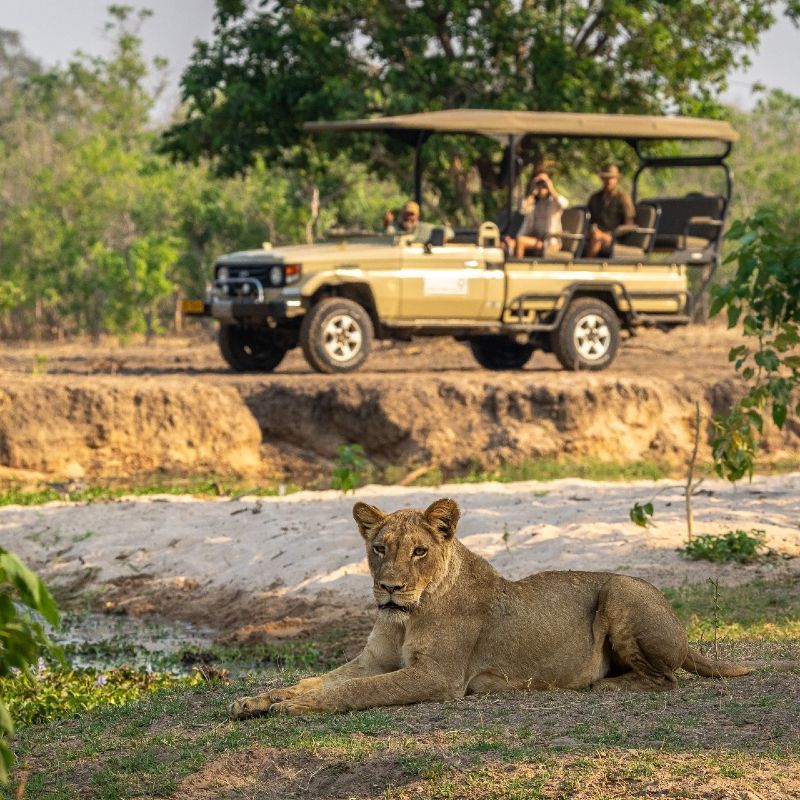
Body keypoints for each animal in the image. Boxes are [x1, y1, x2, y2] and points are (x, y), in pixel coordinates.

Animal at [231, 498, 751, 717]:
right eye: (379, 548)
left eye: (419, 551)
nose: (390, 588)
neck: (407, 618)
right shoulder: (373, 660)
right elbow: (319, 679)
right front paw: (258, 700)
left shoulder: (437, 677)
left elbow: (353, 692)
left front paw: (289, 706)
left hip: (621, 588)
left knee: (662, 679)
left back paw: (599, 684)